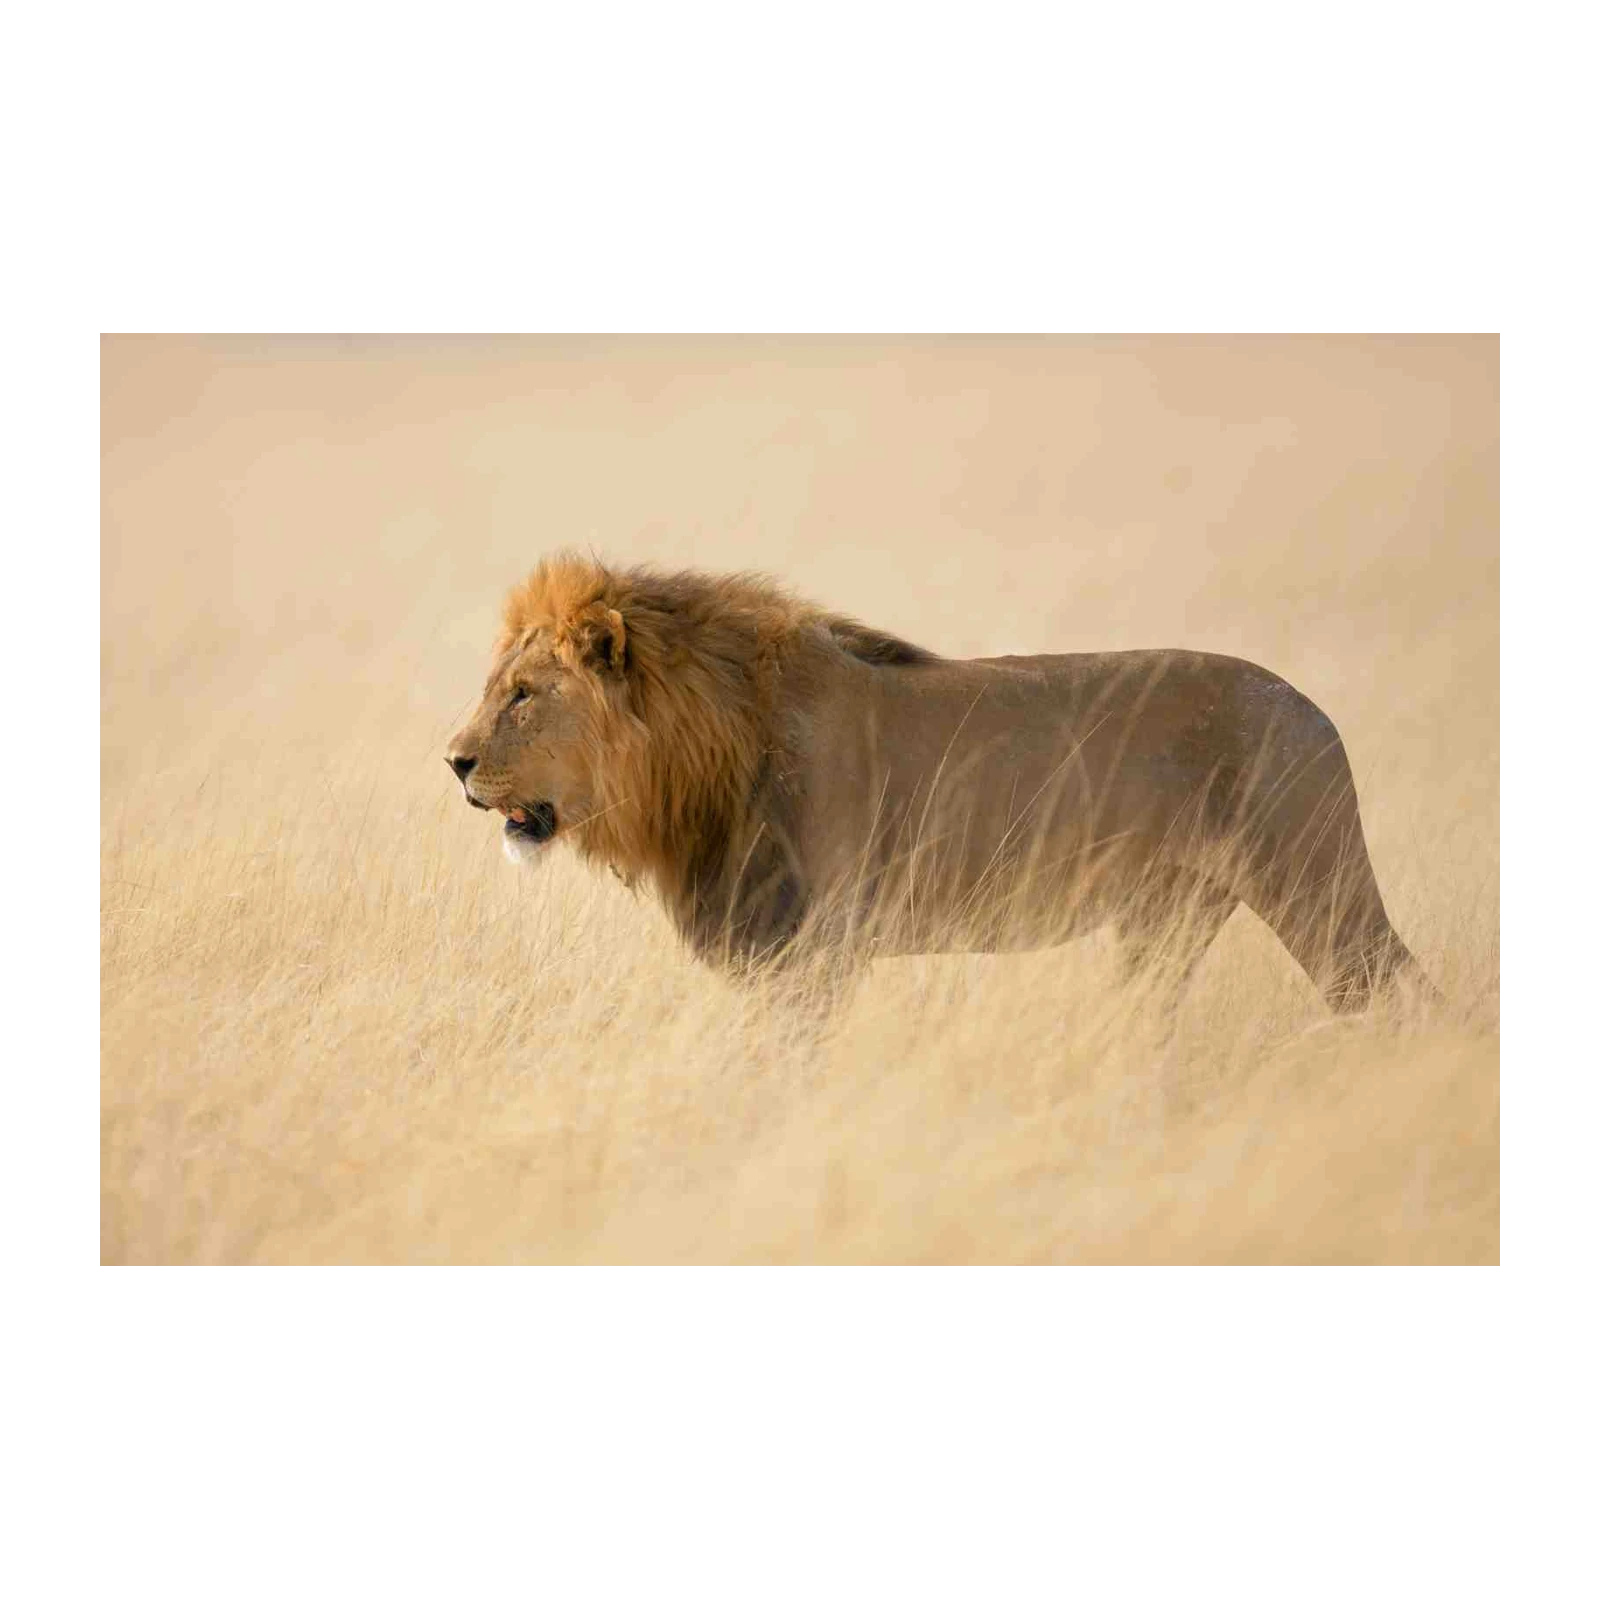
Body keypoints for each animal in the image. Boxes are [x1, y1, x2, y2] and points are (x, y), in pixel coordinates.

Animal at [446, 554, 1433, 1011]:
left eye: (523, 695)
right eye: (499, 685)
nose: (453, 762)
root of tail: (1313, 708)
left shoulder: (813, 954)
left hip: (1318, 886)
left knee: (1399, 993)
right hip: (1167, 923)